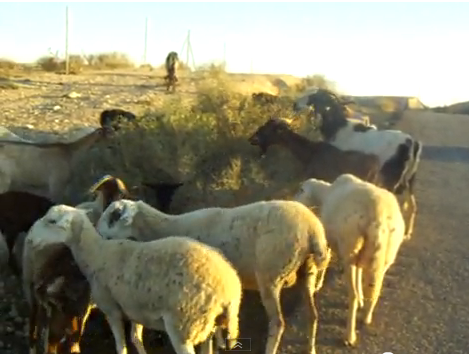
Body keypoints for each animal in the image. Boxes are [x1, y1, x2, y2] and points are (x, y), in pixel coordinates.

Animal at [39, 203, 241, 354]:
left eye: (52, 221)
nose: (34, 237)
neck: (97, 253)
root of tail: (228, 291)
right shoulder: (134, 308)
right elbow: (135, 338)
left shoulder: (111, 308)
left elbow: (121, 346)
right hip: (207, 326)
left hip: (184, 325)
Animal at [95, 199, 330, 354]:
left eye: (114, 217)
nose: (98, 234)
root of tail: (313, 229)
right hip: (307, 271)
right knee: (312, 315)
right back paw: (310, 349)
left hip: (270, 274)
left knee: (278, 323)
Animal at [292, 88, 420, 239]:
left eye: (315, 97)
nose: (295, 105)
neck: (339, 128)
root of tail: (412, 143)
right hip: (409, 180)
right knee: (412, 205)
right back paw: (407, 233)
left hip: (391, 178)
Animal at [292, 173, 406, 348]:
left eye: (300, 190)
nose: (293, 202)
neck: (325, 194)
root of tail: (379, 217)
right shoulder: (359, 258)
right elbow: (359, 277)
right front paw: (361, 300)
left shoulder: (329, 241)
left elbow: (326, 260)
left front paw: (318, 285)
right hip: (385, 256)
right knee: (375, 288)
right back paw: (366, 316)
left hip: (350, 247)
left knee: (352, 294)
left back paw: (349, 336)